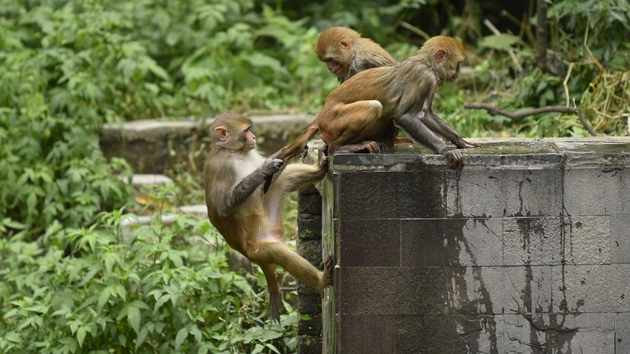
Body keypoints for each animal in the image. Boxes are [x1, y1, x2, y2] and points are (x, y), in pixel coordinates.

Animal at [206, 112, 336, 322]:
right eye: (246, 131)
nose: (253, 137)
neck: (236, 152)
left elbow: (274, 177)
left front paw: (294, 148)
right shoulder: (222, 167)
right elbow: (224, 207)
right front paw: (263, 170)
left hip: (269, 213)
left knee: (284, 179)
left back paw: (318, 169)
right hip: (258, 249)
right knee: (280, 254)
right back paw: (322, 279)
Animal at [278, 35, 482, 168]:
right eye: (458, 64)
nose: (458, 72)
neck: (428, 64)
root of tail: (321, 116)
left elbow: (426, 115)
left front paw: (460, 141)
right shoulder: (423, 76)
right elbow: (405, 116)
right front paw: (445, 150)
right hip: (332, 121)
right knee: (375, 107)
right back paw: (340, 147)